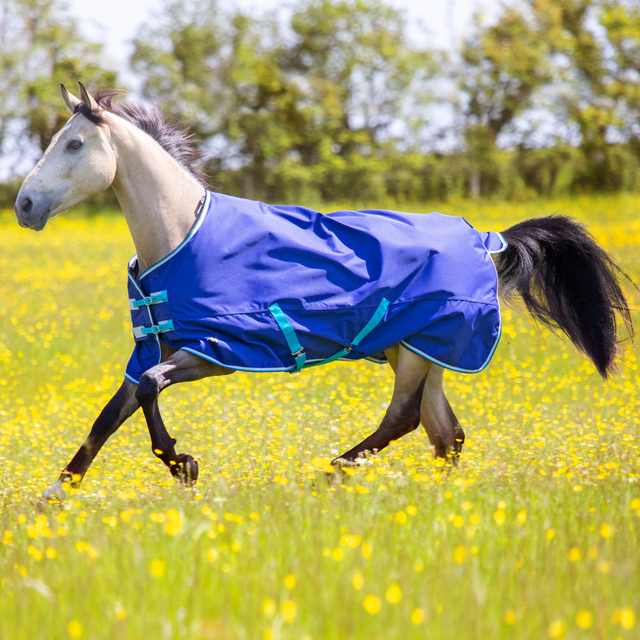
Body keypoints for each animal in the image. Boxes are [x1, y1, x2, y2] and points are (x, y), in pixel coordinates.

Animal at [15, 80, 636, 502]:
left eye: (74, 145)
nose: (24, 205)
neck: (180, 236)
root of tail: (487, 240)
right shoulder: (154, 349)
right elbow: (107, 417)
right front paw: (52, 499)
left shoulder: (217, 352)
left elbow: (148, 391)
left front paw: (182, 465)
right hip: (420, 351)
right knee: (446, 435)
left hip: (417, 352)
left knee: (405, 420)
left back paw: (329, 474)